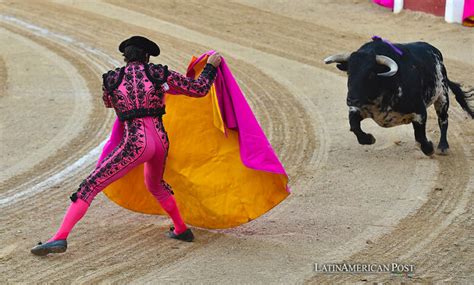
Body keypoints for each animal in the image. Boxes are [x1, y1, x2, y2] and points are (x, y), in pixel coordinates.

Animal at [326, 39, 474, 155]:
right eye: (349, 72)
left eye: (371, 74)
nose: (351, 99)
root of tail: (436, 52)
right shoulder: (357, 109)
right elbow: (355, 127)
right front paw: (369, 139)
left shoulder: (420, 112)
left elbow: (420, 137)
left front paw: (429, 148)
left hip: (442, 97)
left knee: (443, 120)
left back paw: (443, 146)